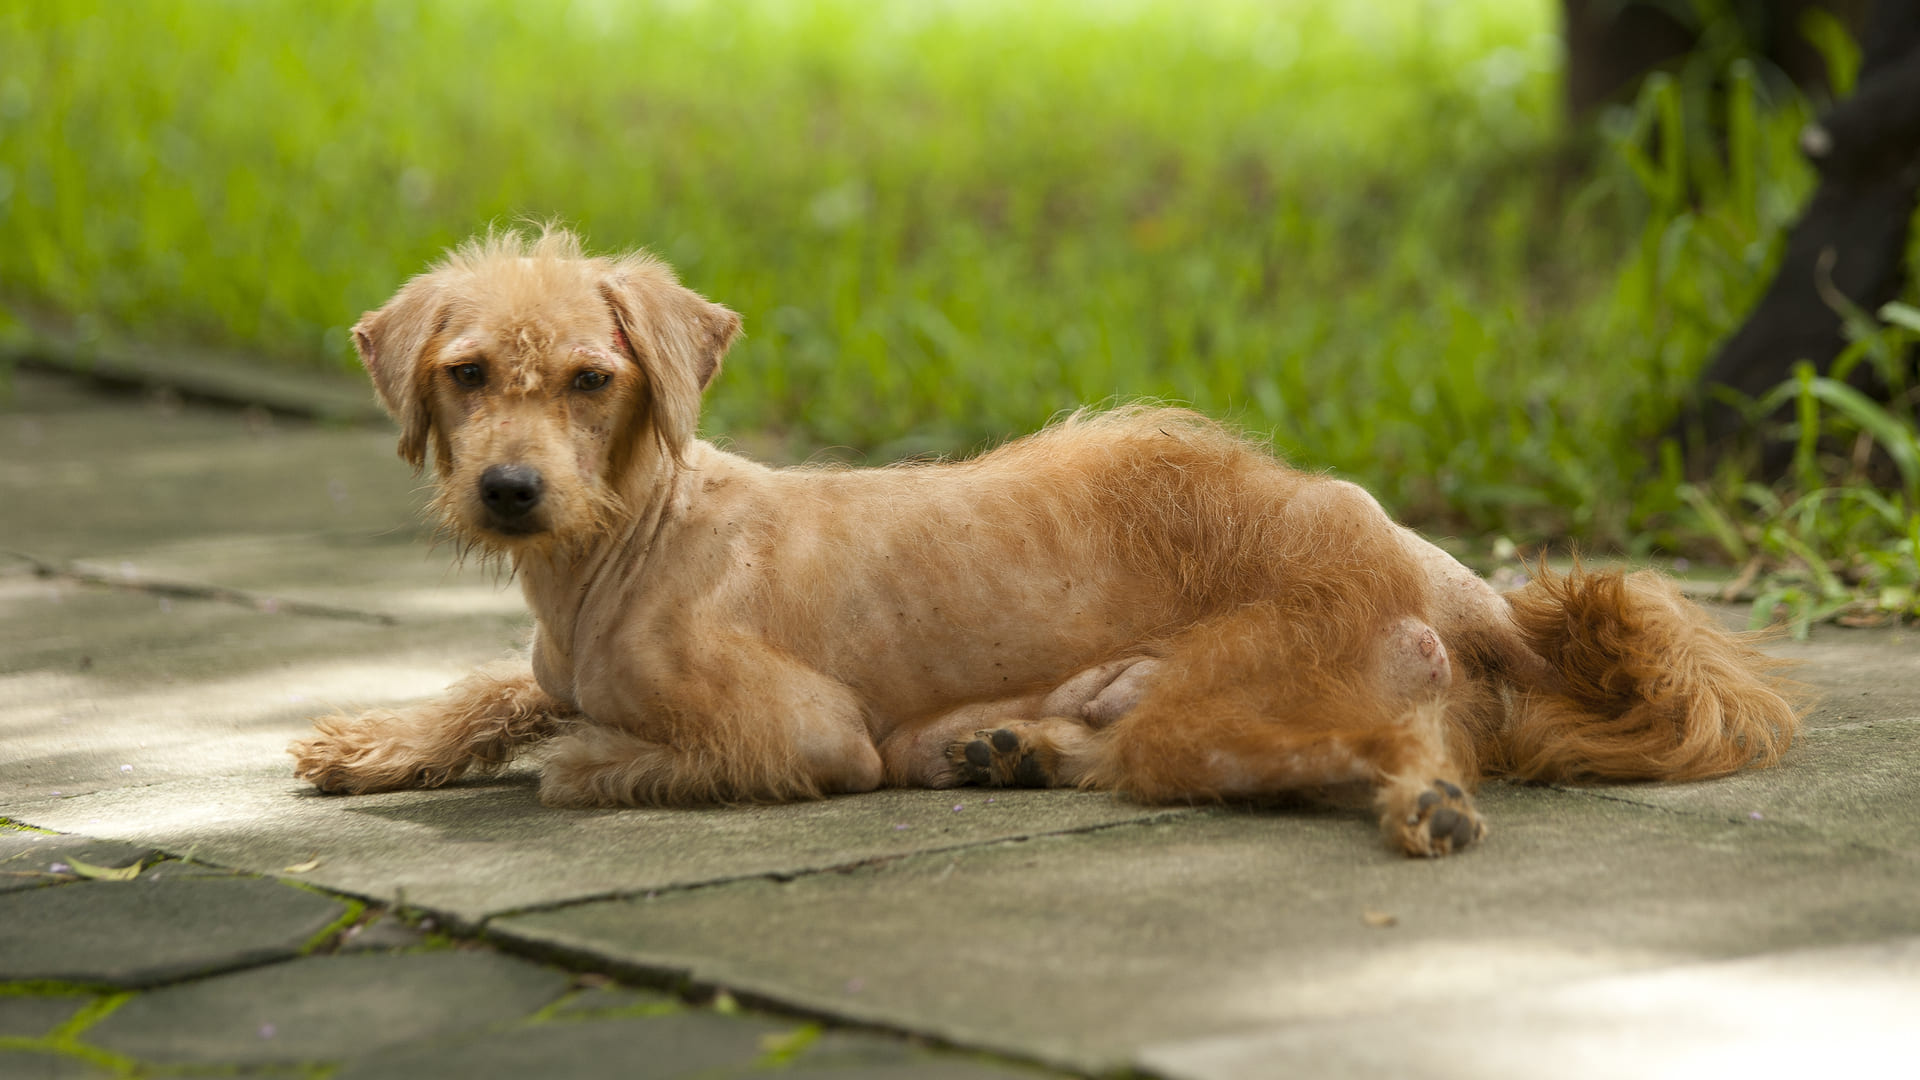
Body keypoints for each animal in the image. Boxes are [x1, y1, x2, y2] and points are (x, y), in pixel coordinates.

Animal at [284, 224, 1797, 849]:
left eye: (592, 380)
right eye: (467, 374)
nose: (510, 491)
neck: (623, 544)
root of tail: (1438, 566)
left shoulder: (802, 736)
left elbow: (583, 760)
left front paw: (566, 757)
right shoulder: (546, 658)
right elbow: (498, 691)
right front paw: (379, 742)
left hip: (1227, 699)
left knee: (1392, 741)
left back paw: (1423, 801)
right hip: (1163, 699)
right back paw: (1005, 749)